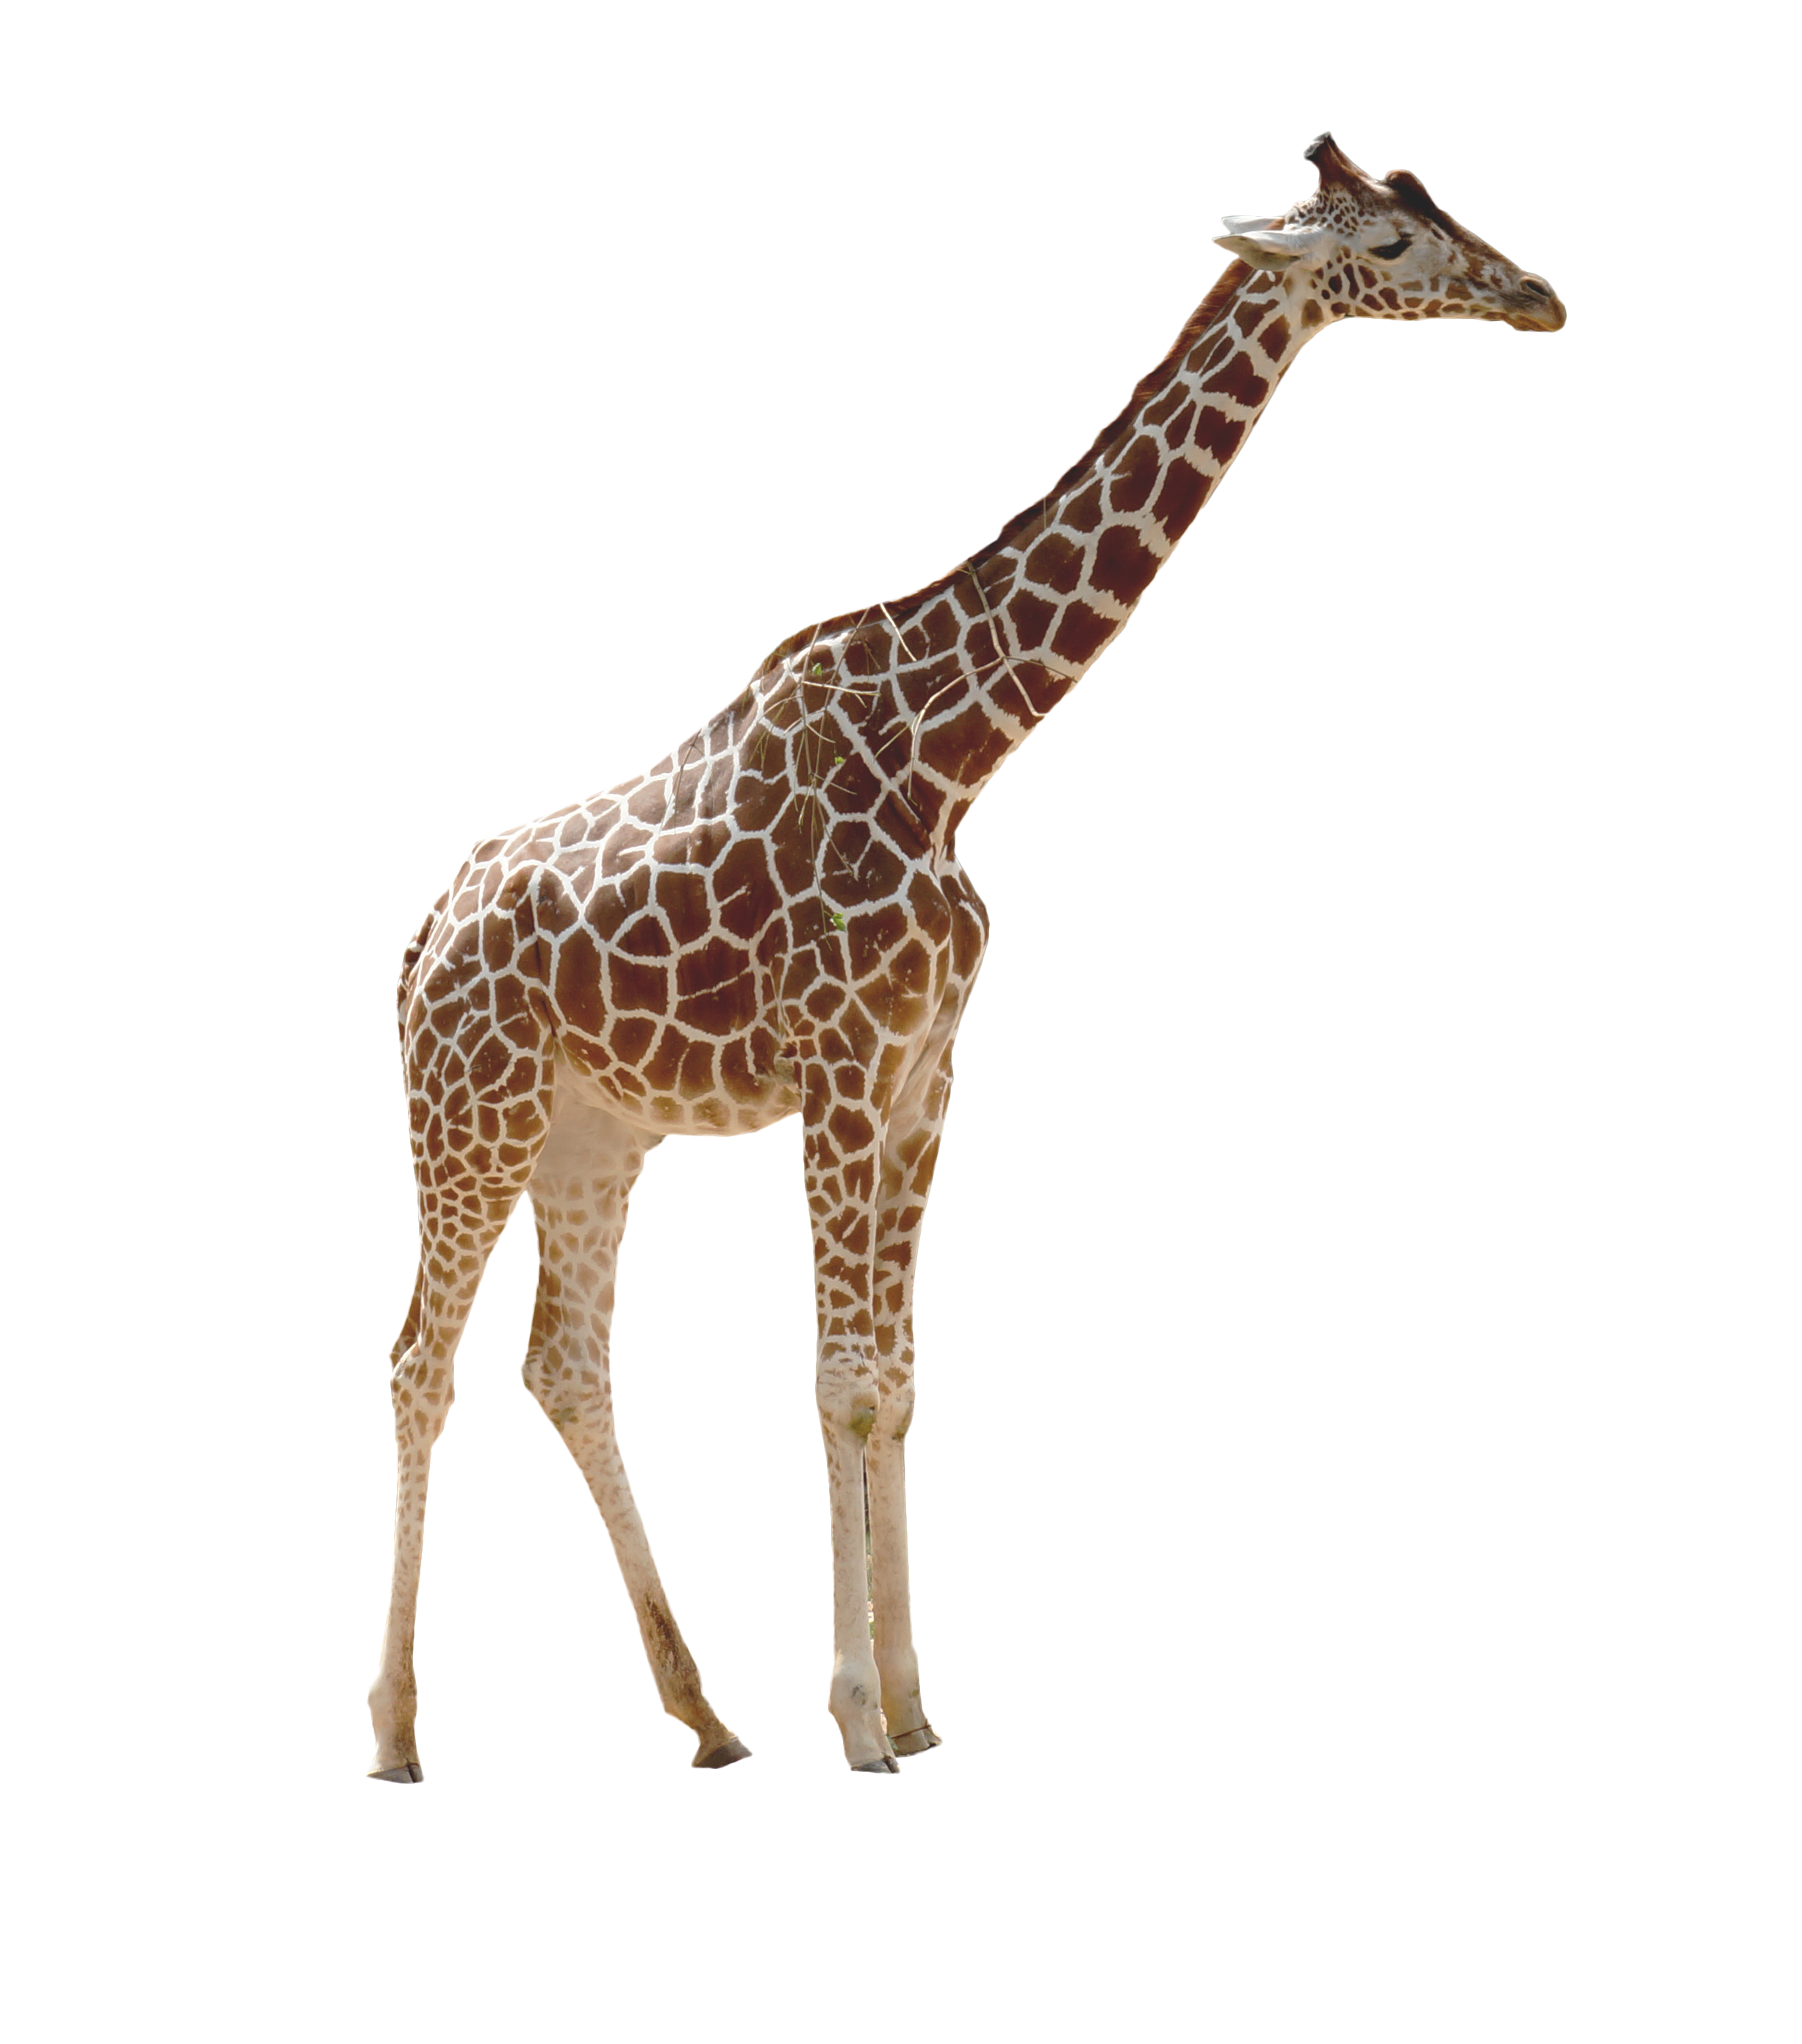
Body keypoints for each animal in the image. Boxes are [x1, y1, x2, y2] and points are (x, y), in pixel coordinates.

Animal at [367, 131, 1565, 1781]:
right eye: (1386, 245)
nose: (1539, 296)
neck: (956, 757)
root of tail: (423, 932)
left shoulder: (928, 1078)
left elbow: (899, 1383)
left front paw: (915, 1698)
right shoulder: (838, 1072)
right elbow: (835, 1379)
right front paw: (857, 1715)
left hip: (593, 1135)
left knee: (565, 1360)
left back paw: (705, 1709)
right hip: (468, 1115)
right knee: (421, 1363)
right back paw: (405, 1734)